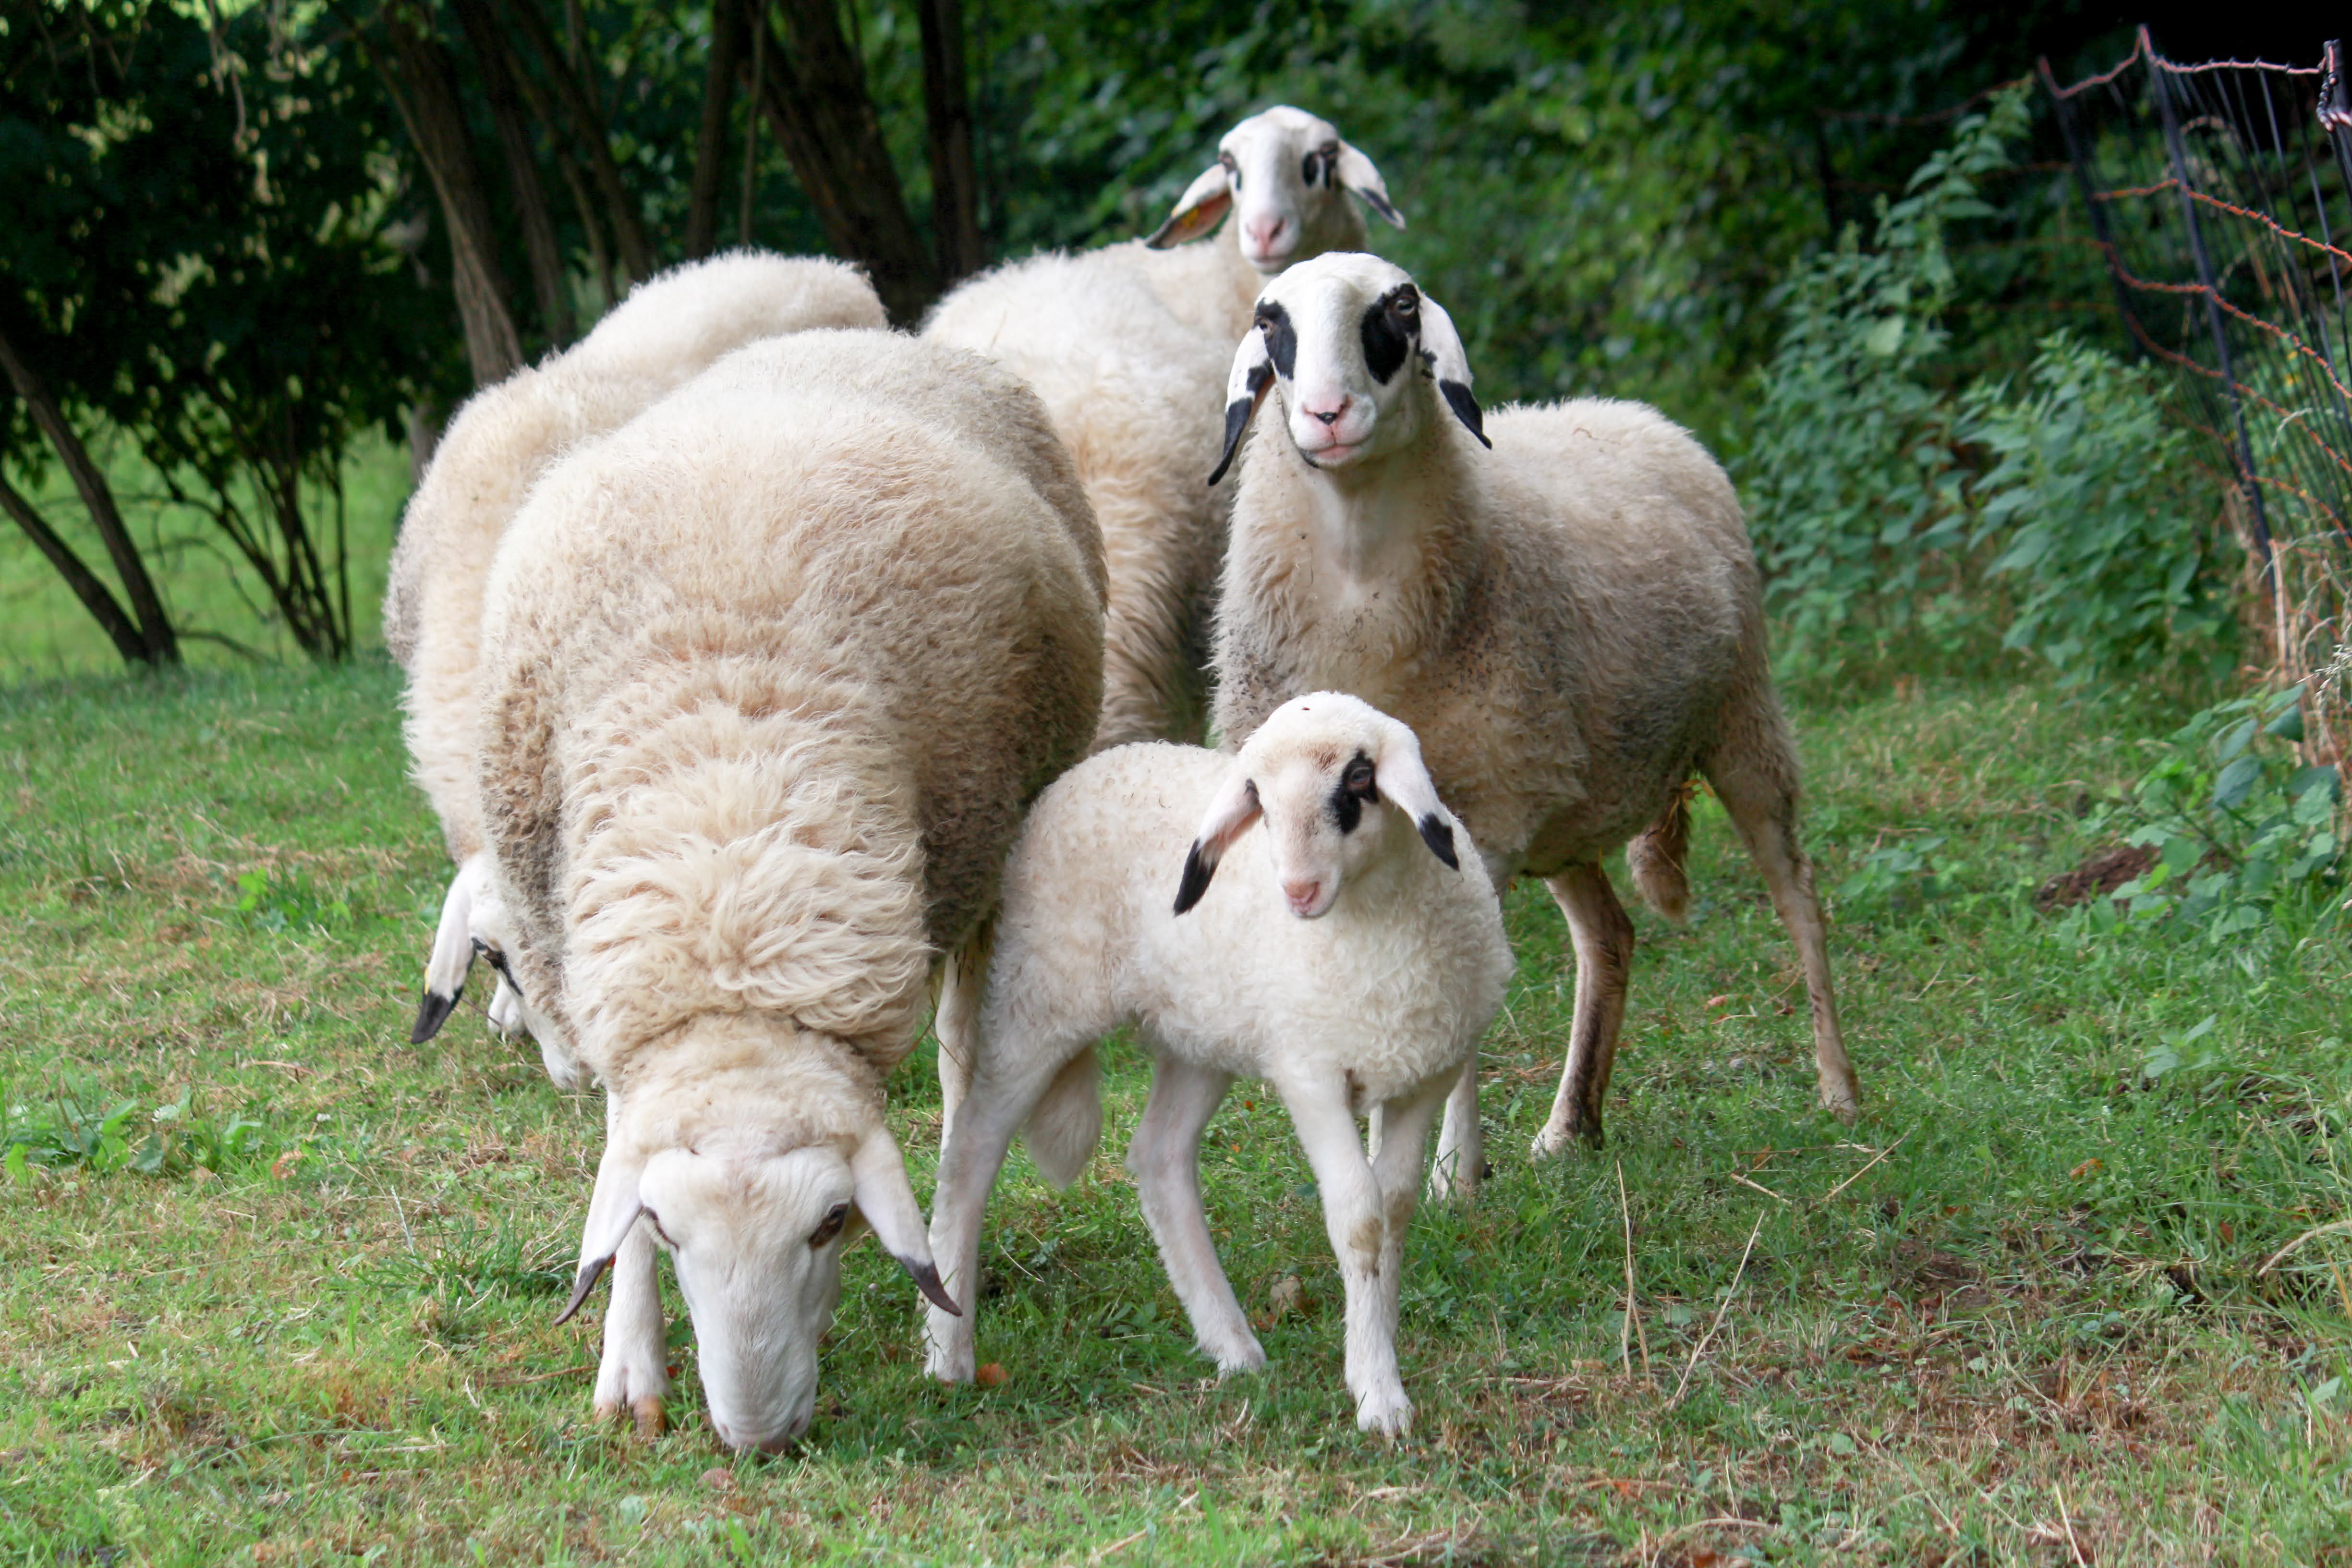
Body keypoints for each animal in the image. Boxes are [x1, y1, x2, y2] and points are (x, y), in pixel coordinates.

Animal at [469, 328, 1105, 1451]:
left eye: (831, 1224)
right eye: (667, 1227)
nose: (759, 1438)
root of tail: (862, 336)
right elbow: (619, 1157)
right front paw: (629, 1366)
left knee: (963, 1083)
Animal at [922, 692, 1511, 1437]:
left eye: (1356, 780)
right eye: (1257, 797)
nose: (1297, 892)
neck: (1374, 933)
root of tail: (1091, 768)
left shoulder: (1421, 1075)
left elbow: (1395, 1210)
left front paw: (1374, 1347)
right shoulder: (1309, 1072)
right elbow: (1359, 1217)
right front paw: (1378, 1392)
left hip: (1199, 1034)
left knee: (1158, 1155)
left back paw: (1230, 1343)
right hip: (1038, 1000)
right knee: (970, 1153)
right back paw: (948, 1353)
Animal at [1206, 253, 1861, 1186]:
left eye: (1398, 308)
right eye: (1270, 320)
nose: (1327, 415)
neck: (1360, 584)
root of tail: (1633, 412)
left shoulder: (1477, 820)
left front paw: (1448, 1174)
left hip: (1740, 722)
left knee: (1798, 896)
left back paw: (1838, 1088)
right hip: (1561, 801)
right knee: (1609, 935)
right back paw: (1571, 1125)